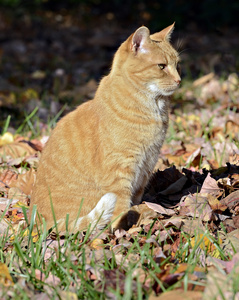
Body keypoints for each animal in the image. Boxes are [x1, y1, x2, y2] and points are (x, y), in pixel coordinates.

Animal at [29, 24, 180, 232]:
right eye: (161, 66)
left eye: (177, 64)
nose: (179, 80)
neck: (154, 109)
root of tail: (38, 224)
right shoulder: (120, 169)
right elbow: (121, 205)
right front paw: (120, 229)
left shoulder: (146, 165)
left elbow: (135, 198)